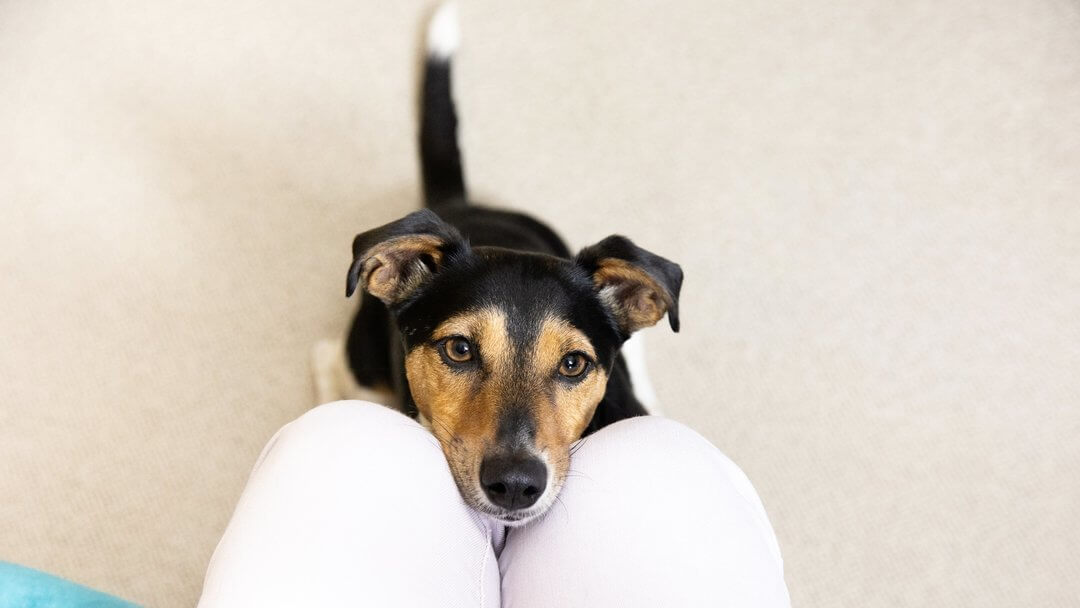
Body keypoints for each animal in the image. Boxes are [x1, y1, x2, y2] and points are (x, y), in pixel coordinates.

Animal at [315, 4, 682, 529]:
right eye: (459, 350)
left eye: (574, 363)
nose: (515, 484)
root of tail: (458, 202)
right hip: (361, 359)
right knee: (330, 362)